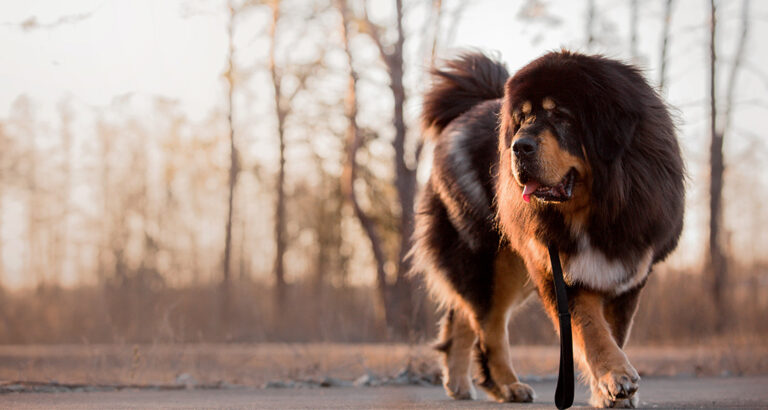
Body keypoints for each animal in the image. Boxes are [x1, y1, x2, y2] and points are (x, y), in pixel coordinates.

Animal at [412, 51, 688, 406]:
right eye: (522, 118)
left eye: (560, 115)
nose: (518, 146)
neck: (597, 210)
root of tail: (465, 113)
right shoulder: (560, 270)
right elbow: (592, 330)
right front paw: (617, 377)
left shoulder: (628, 273)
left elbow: (614, 332)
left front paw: (608, 393)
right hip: (493, 259)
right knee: (489, 326)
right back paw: (508, 385)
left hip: (511, 265)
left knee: (464, 315)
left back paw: (463, 383)